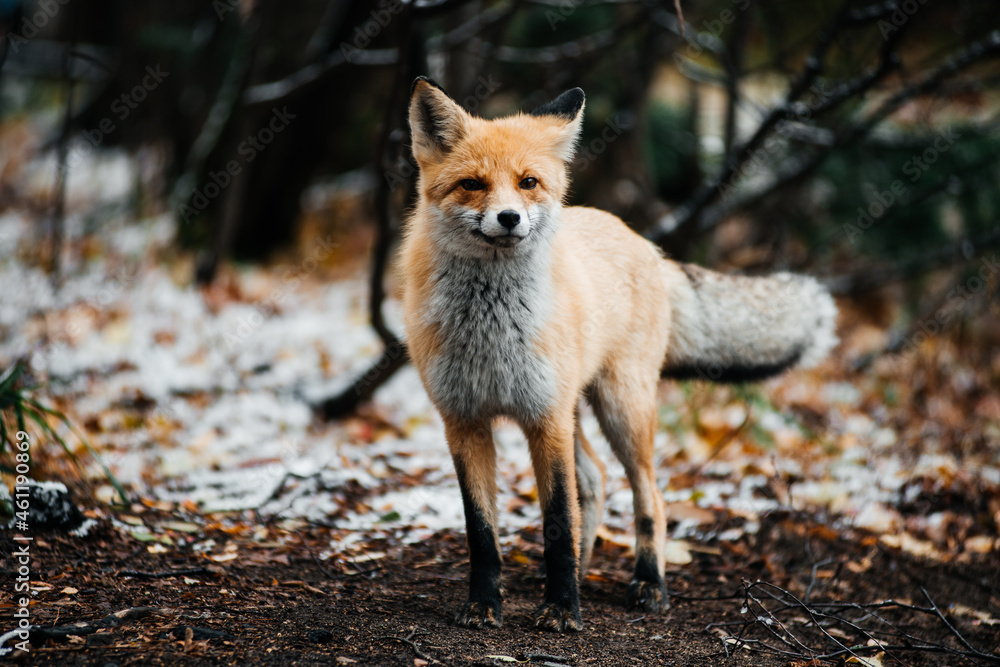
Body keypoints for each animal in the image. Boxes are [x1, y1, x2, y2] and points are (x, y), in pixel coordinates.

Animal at [399, 77, 838, 632]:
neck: (490, 328)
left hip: (620, 409)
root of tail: (645, 243)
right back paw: (584, 571)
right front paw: (485, 604)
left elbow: (558, 521)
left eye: (527, 182)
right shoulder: (464, 421)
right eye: (473, 184)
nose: (509, 218)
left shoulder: (545, 417)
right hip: (576, 410)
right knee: (594, 479)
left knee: (649, 496)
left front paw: (562, 609)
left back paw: (648, 583)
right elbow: (482, 532)